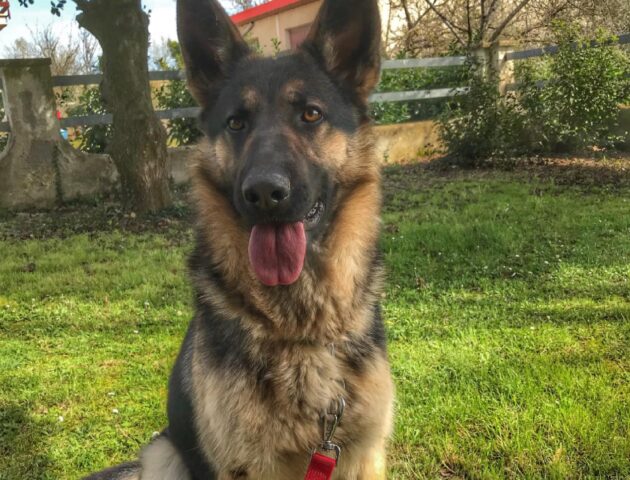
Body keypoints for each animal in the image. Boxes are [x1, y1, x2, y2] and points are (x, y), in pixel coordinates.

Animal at [87, 0, 396, 478]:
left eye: (311, 114)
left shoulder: (364, 456)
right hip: (162, 453)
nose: (264, 193)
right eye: (236, 123)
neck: (299, 331)